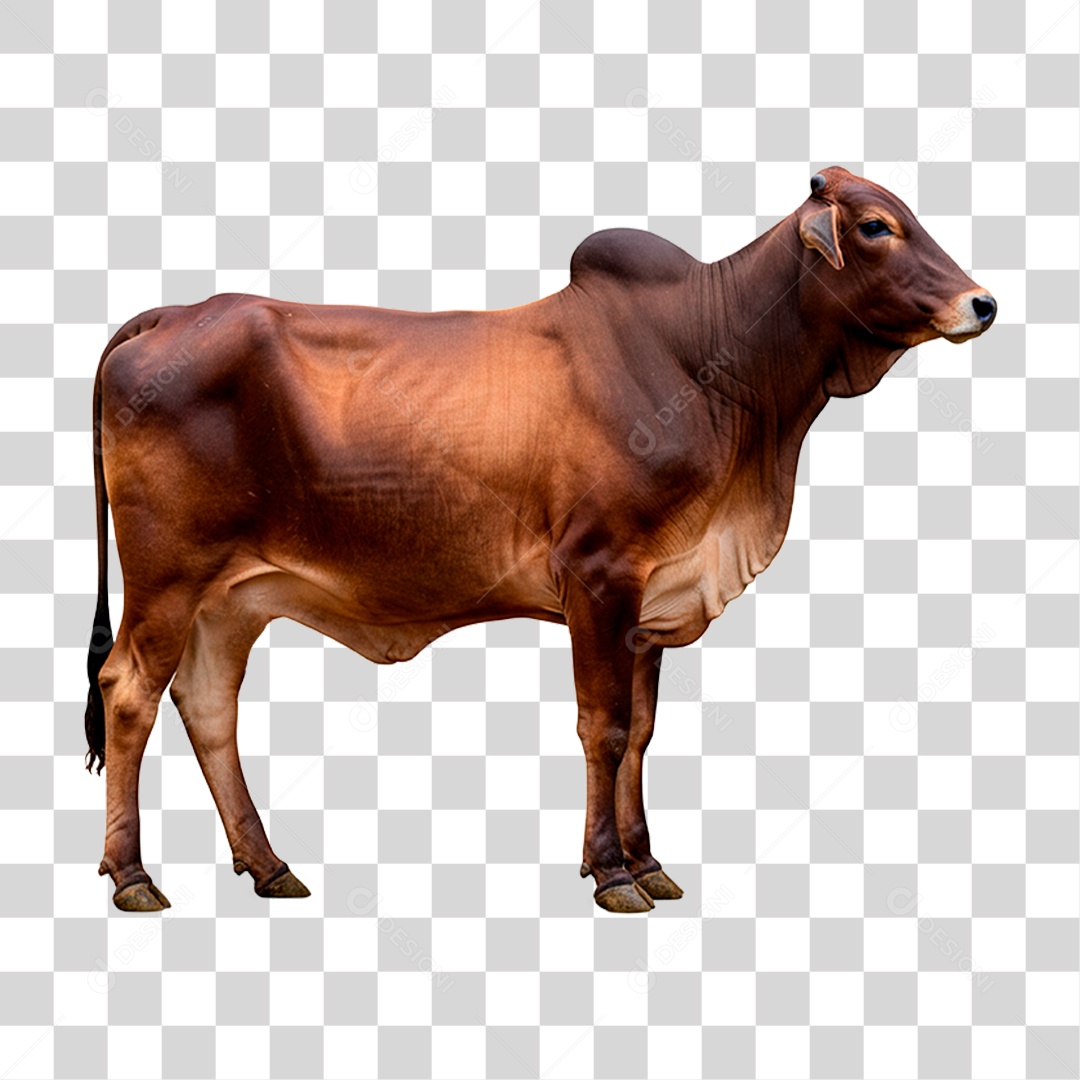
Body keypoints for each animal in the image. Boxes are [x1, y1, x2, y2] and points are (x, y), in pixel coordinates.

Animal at [85, 166, 996, 913]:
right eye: (875, 225)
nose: (982, 302)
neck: (716, 367)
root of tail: (172, 314)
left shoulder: (650, 603)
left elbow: (643, 732)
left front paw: (648, 862)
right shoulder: (598, 574)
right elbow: (606, 728)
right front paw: (613, 873)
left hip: (230, 599)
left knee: (208, 704)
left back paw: (269, 865)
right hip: (167, 579)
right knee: (128, 691)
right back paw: (133, 877)